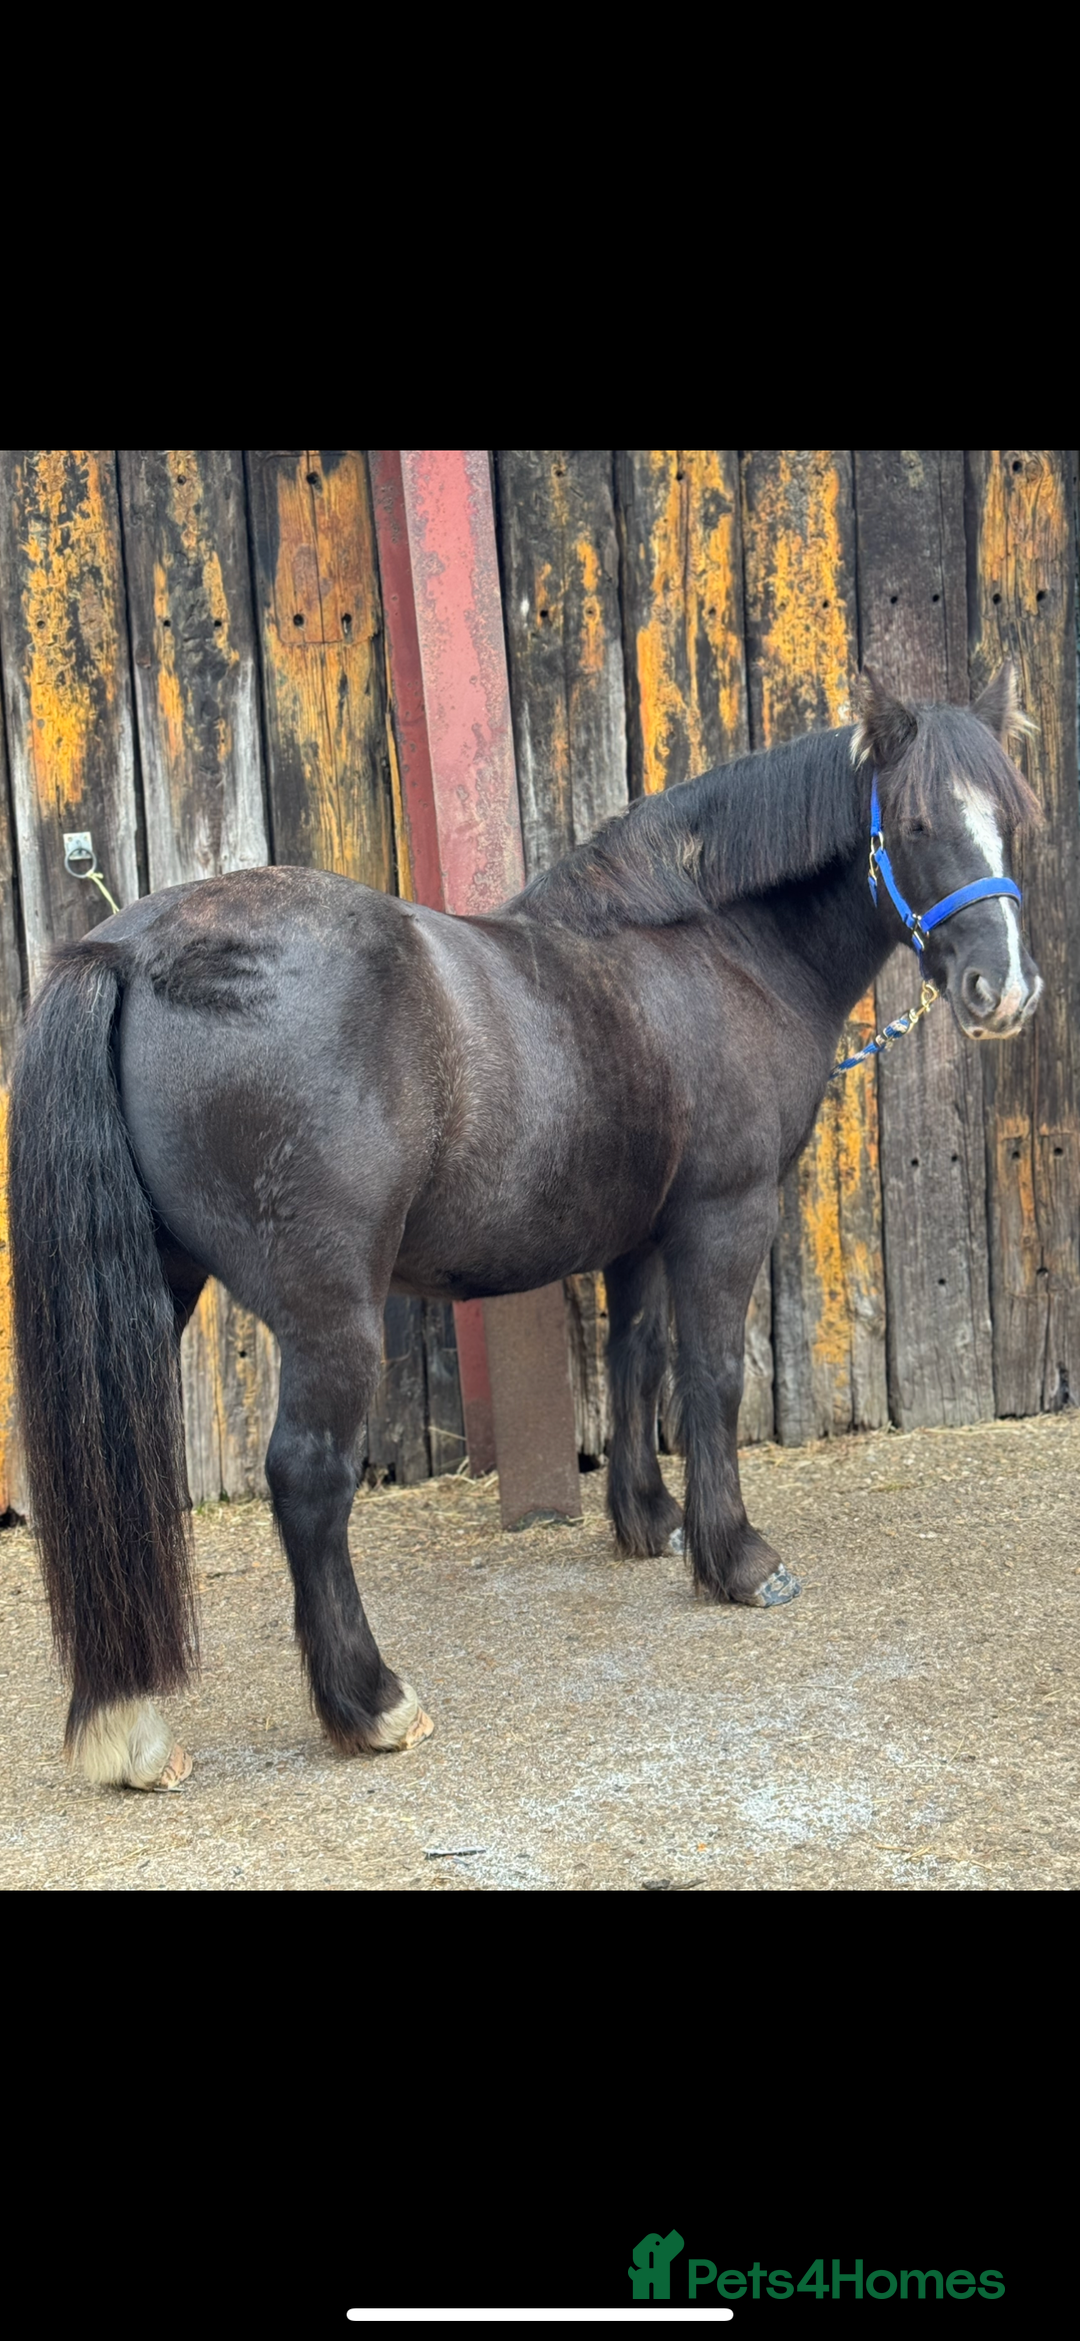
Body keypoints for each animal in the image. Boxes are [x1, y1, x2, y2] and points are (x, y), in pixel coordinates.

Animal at [7, 664, 1041, 1790]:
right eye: (916, 821)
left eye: (1013, 821)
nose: (1005, 990)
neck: (712, 951)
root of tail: (126, 948)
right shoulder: (726, 1217)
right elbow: (714, 1376)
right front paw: (737, 1557)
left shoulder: (641, 1235)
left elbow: (638, 1359)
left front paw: (650, 1521)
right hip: (330, 1312)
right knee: (309, 1476)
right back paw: (371, 1700)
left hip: (158, 1286)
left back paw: (130, 1725)